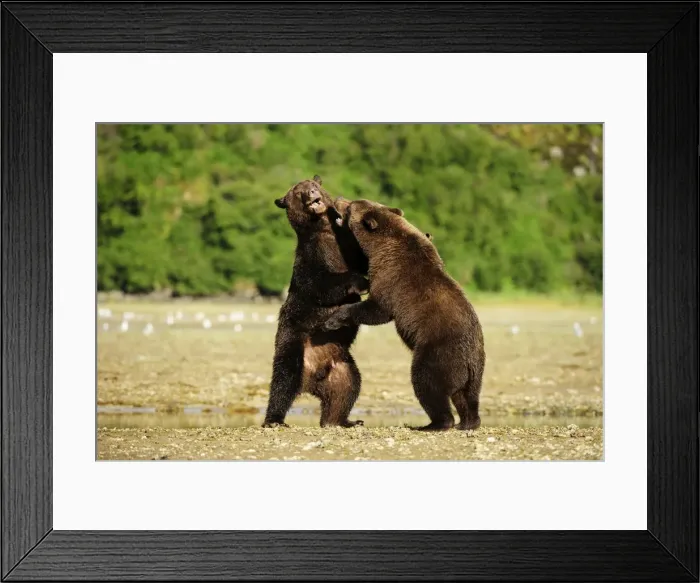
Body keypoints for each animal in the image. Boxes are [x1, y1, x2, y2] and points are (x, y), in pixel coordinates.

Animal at [262, 176, 369, 428]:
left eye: (313, 184)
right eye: (297, 192)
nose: (311, 192)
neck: (325, 229)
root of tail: (311, 380)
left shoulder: (346, 246)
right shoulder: (311, 258)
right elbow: (320, 285)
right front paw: (360, 283)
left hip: (340, 365)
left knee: (347, 387)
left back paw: (343, 421)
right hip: (293, 344)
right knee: (284, 379)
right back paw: (274, 419)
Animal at [322, 199, 485, 431]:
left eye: (351, 206)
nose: (338, 199)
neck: (382, 245)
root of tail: (470, 360)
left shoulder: (392, 277)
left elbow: (378, 310)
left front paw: (333, 319)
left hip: (439, 352)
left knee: (427, 383)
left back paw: (433, 424)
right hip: (474, 371)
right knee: (466, 396)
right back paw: (468, 422)